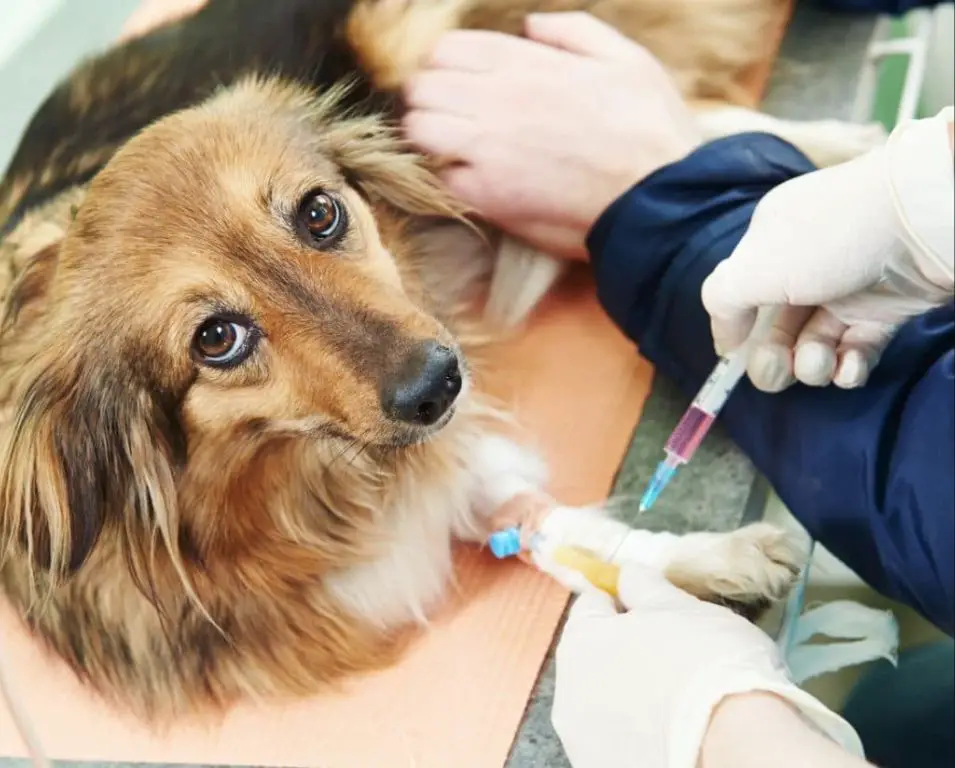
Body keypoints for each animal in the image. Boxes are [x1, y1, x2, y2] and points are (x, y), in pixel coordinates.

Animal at [0, 0, 880, 720]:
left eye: (319, 213)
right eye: (215, 339)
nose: (438, 386)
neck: (296, 478)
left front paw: (696, 557)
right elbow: (547, 531)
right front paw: (690, 573)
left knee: (670, 105)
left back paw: (844, 161)